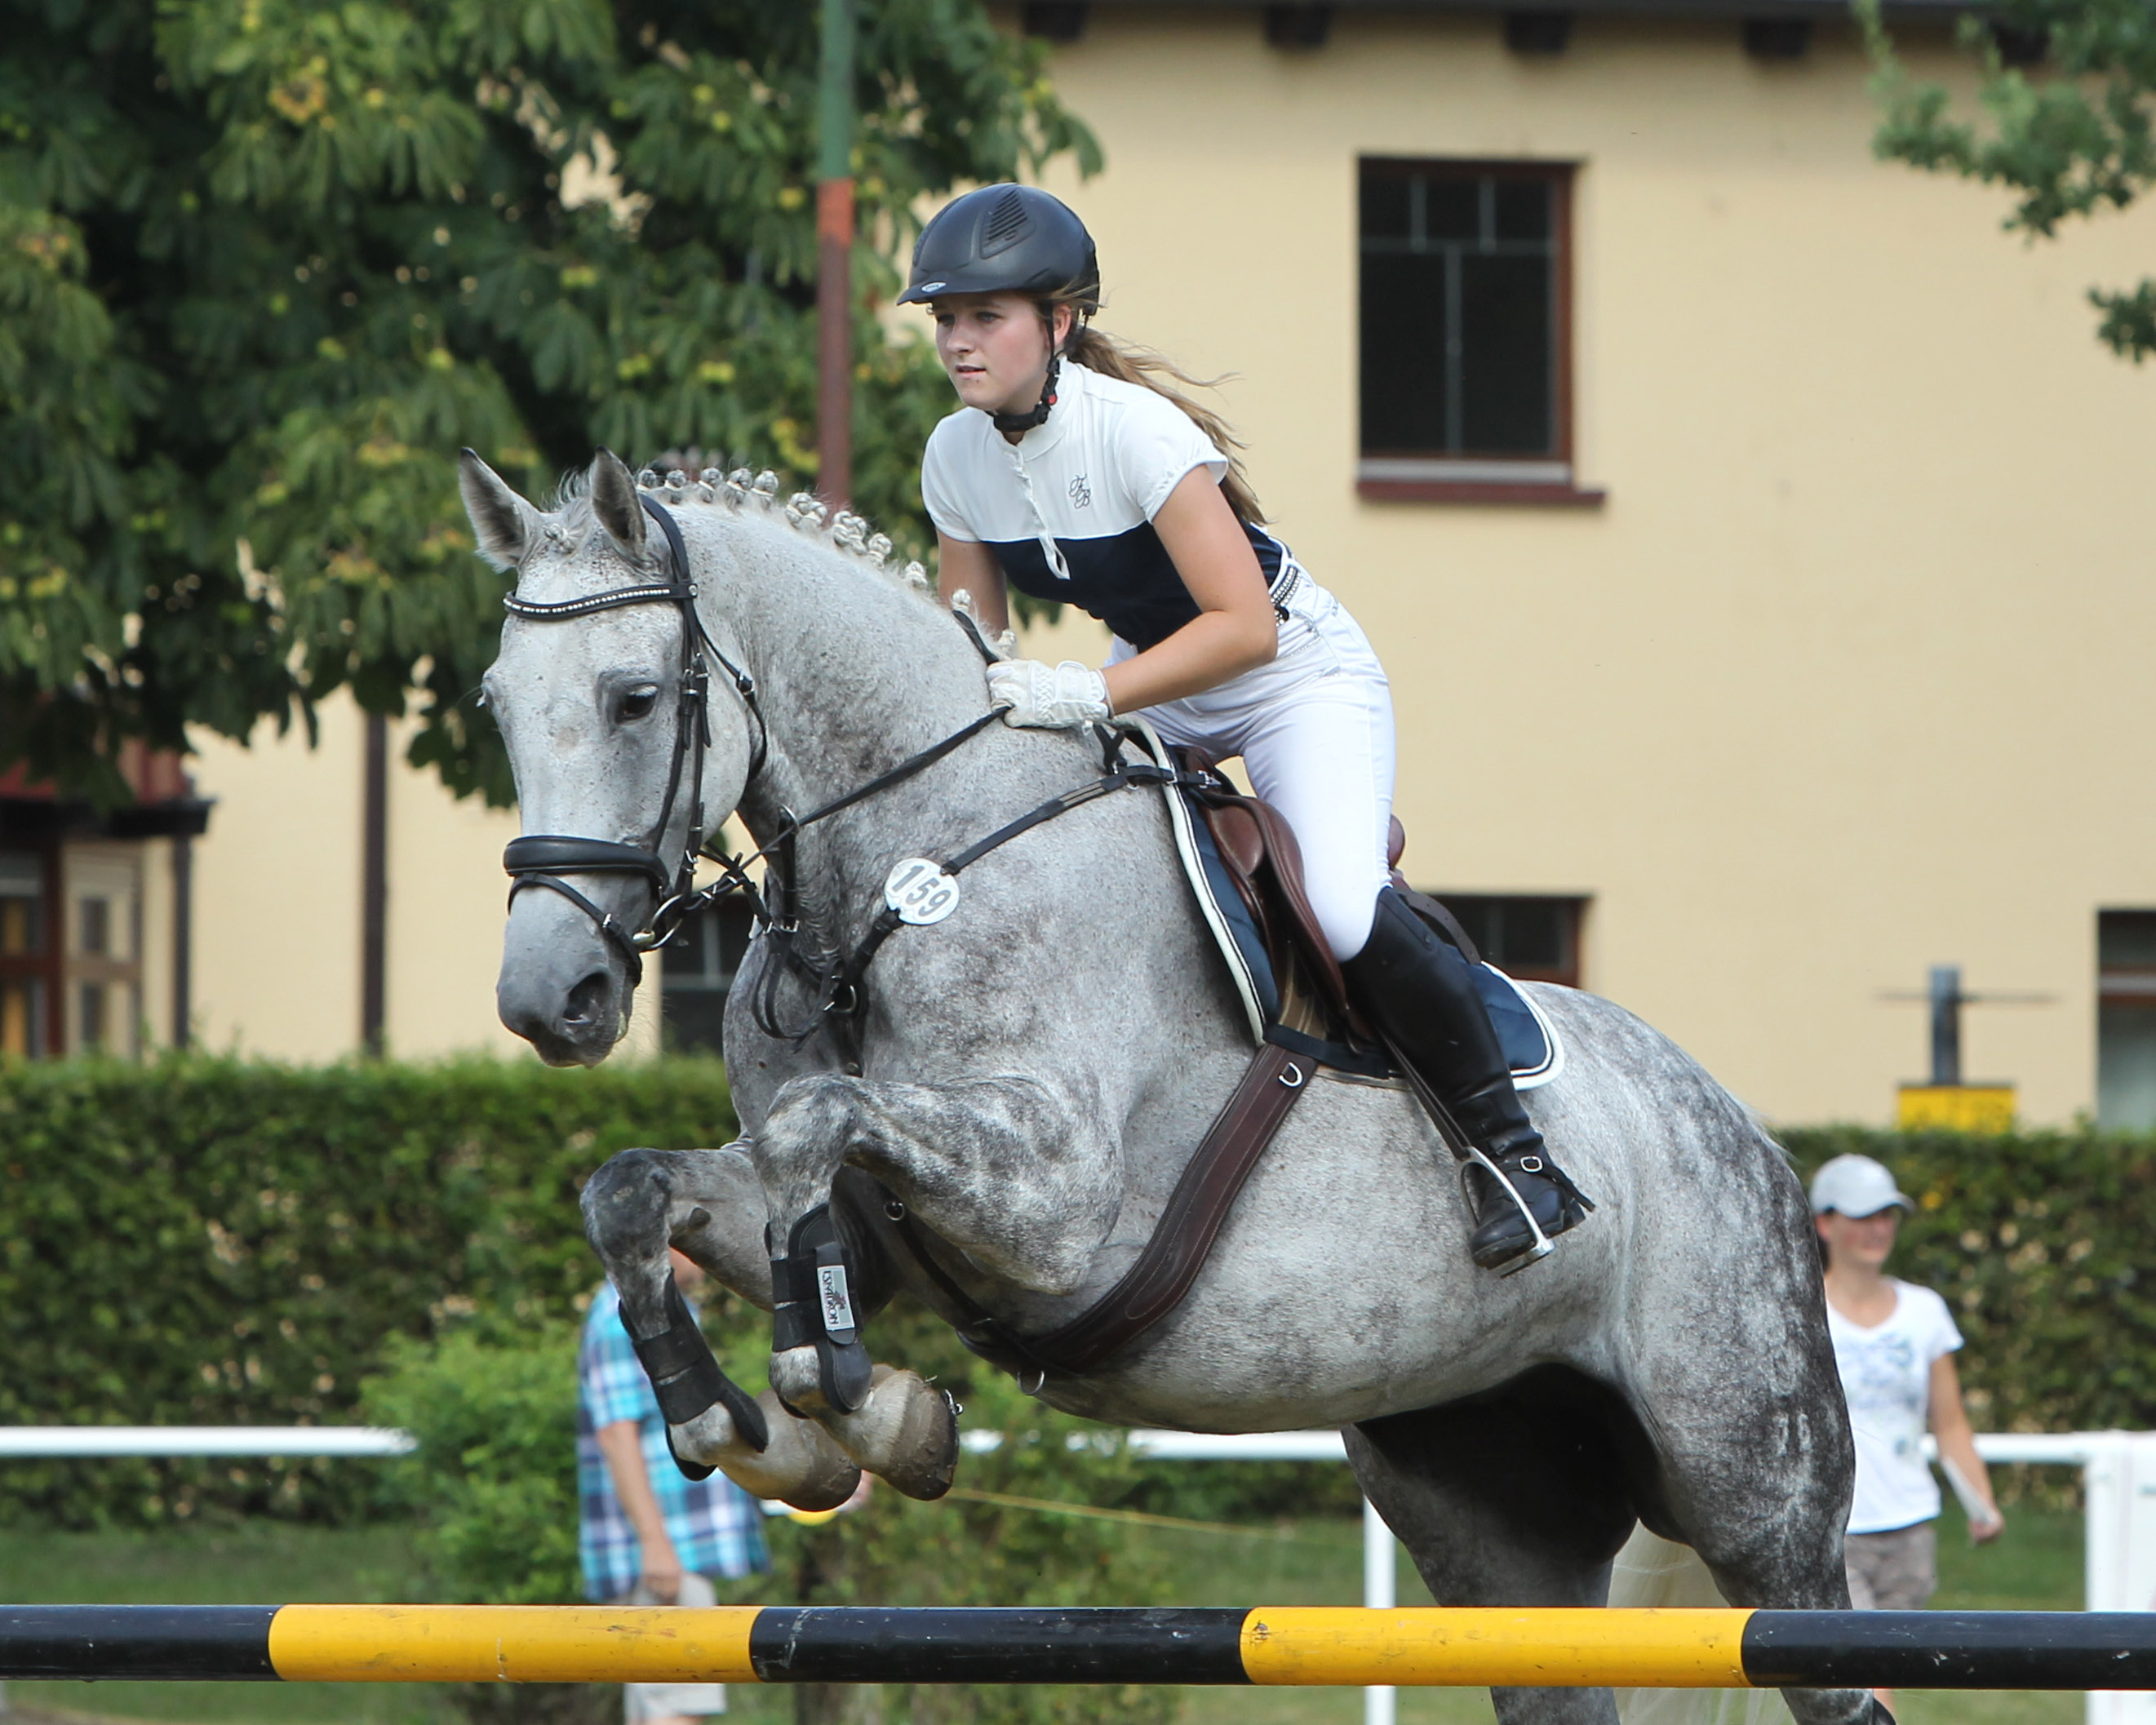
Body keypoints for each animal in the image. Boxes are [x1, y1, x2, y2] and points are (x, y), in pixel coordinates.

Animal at [468, 448, 1888, 1725]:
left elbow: (813, 1133)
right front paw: (753, 1426)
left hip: (1752, 1480)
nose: (550, 998)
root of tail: (1746, 1131)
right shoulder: (879, 1226)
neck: (900, 882)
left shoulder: (1053, 1200)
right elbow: (638, 1190)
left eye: (632, 698)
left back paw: (1526, 1187)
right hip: (1488, 1509)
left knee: (1826, 1653)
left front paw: (861, 1403)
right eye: (494, 704)